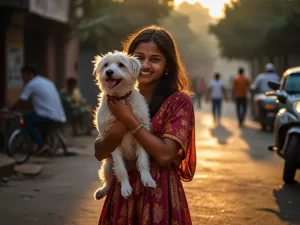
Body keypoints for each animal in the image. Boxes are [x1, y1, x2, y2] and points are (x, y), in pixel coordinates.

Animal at [92, 50, 156, 199]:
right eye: (106, 65)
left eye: (121, 65)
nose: (109, 72)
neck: (120, 98)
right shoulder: (111, 139)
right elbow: (121, 169)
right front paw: (125, 187)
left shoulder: (141, 130)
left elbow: (143, 161)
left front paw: (147, 178)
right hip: (107, 164)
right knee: (109, 179)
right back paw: (103, 190)